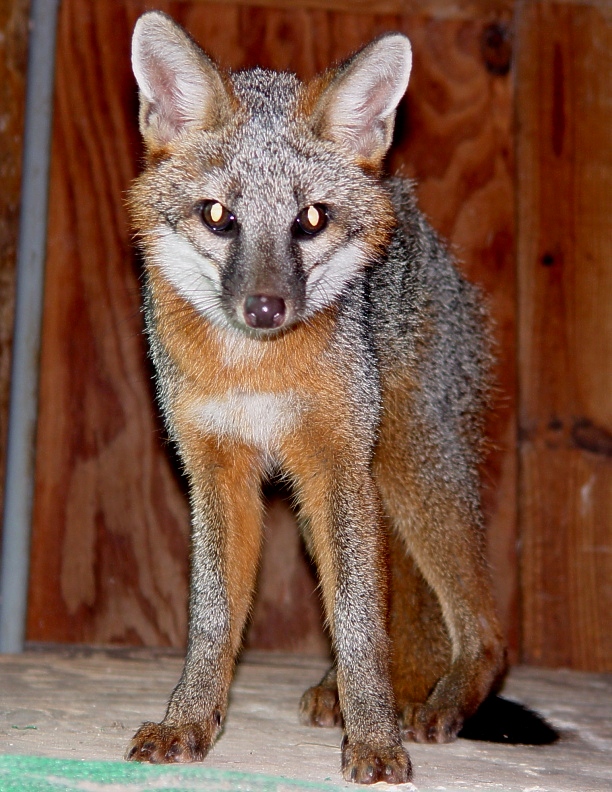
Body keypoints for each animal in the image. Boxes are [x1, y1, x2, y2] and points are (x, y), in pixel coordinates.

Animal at [125, 11, 557, 785]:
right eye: (218, 215)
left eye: (311, 220)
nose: (265, 308)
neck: (255, 370)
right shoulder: (217, 470)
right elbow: (212, 620)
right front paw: (190, 721)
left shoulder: (335, 464)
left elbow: (358, 621)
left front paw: (376, 738)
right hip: (338, 496)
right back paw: (375, 692)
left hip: (405, 470)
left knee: (483, 625)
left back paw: (441, 702)